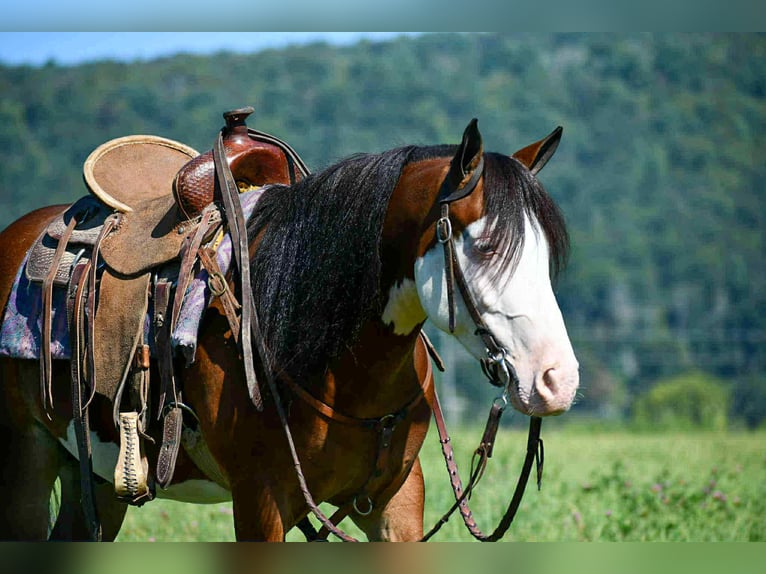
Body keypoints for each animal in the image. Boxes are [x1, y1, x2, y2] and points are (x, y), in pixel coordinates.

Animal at [0, 118, 579, 541]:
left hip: (93, 477)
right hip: (25, 465)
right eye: (484, 245)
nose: (557, 381)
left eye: (546, 251)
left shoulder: (396, 501)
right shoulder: (261, 502)